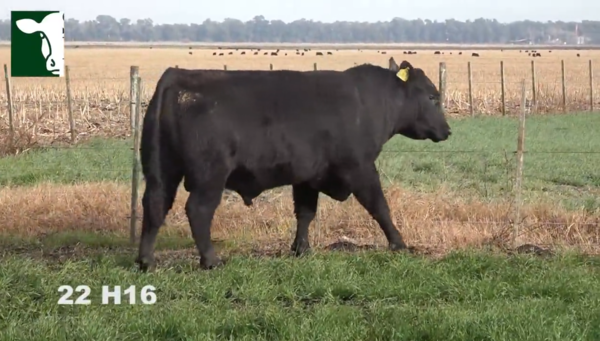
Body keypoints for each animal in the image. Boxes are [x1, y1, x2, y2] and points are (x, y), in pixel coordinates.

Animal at [135, 57, 450, 270]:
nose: (447, 130)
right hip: (209, 175)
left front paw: (302, 249)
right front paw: (399, 244)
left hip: (161, 170)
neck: (370, 102)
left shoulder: (307, 175)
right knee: (198, 211)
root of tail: (177, 75)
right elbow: (380, 207)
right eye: (433, 96)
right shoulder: (360, 168)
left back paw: (146, 261)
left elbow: (305, 213)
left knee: (154, 205)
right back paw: (211, 260)